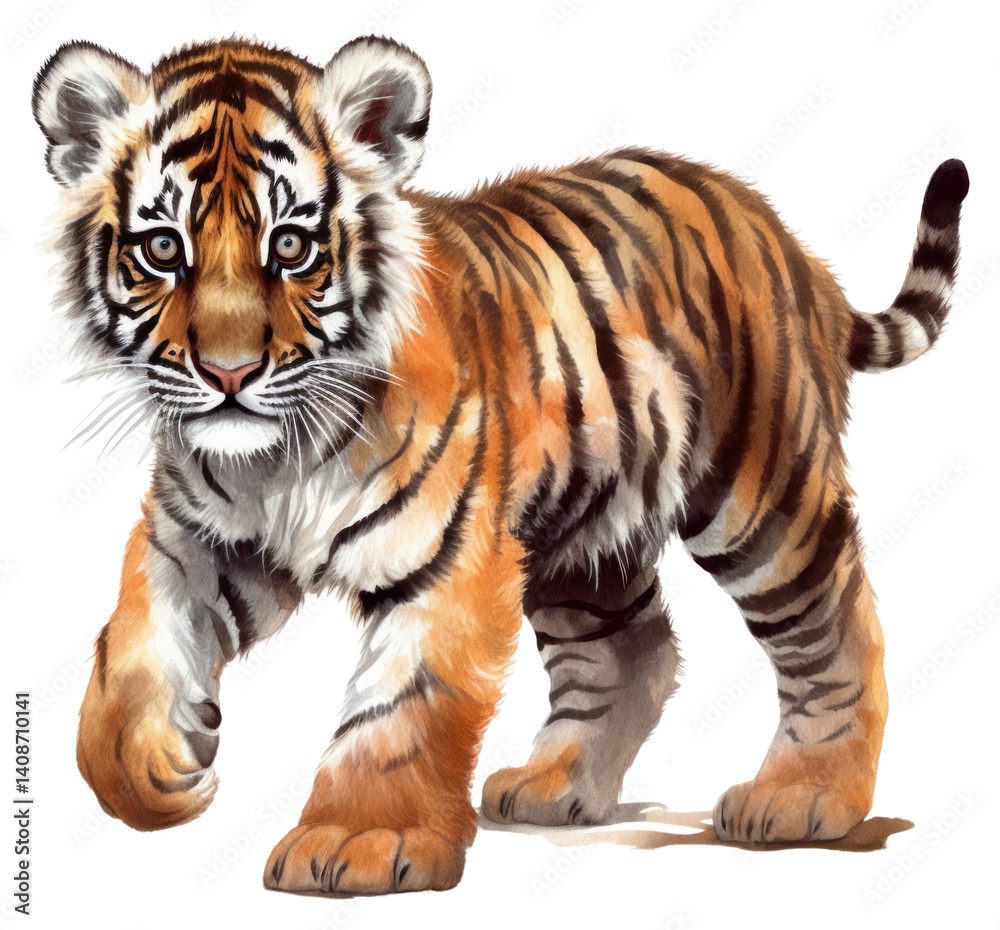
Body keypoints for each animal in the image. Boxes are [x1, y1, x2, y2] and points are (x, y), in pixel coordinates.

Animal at [33, 36, 967, 896]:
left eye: (292, 246)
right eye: (162, 250)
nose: (228, 374)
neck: (276, 457)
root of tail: (787, 240)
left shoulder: (444, 557)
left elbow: (400, 710)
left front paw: (358, 841)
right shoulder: (194, 539)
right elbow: (131, 651)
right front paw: (158, 767)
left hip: (759, 497)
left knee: (835, 623)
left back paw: (806, 796)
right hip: (579, 531)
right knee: (635, 648)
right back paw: (557, 785)